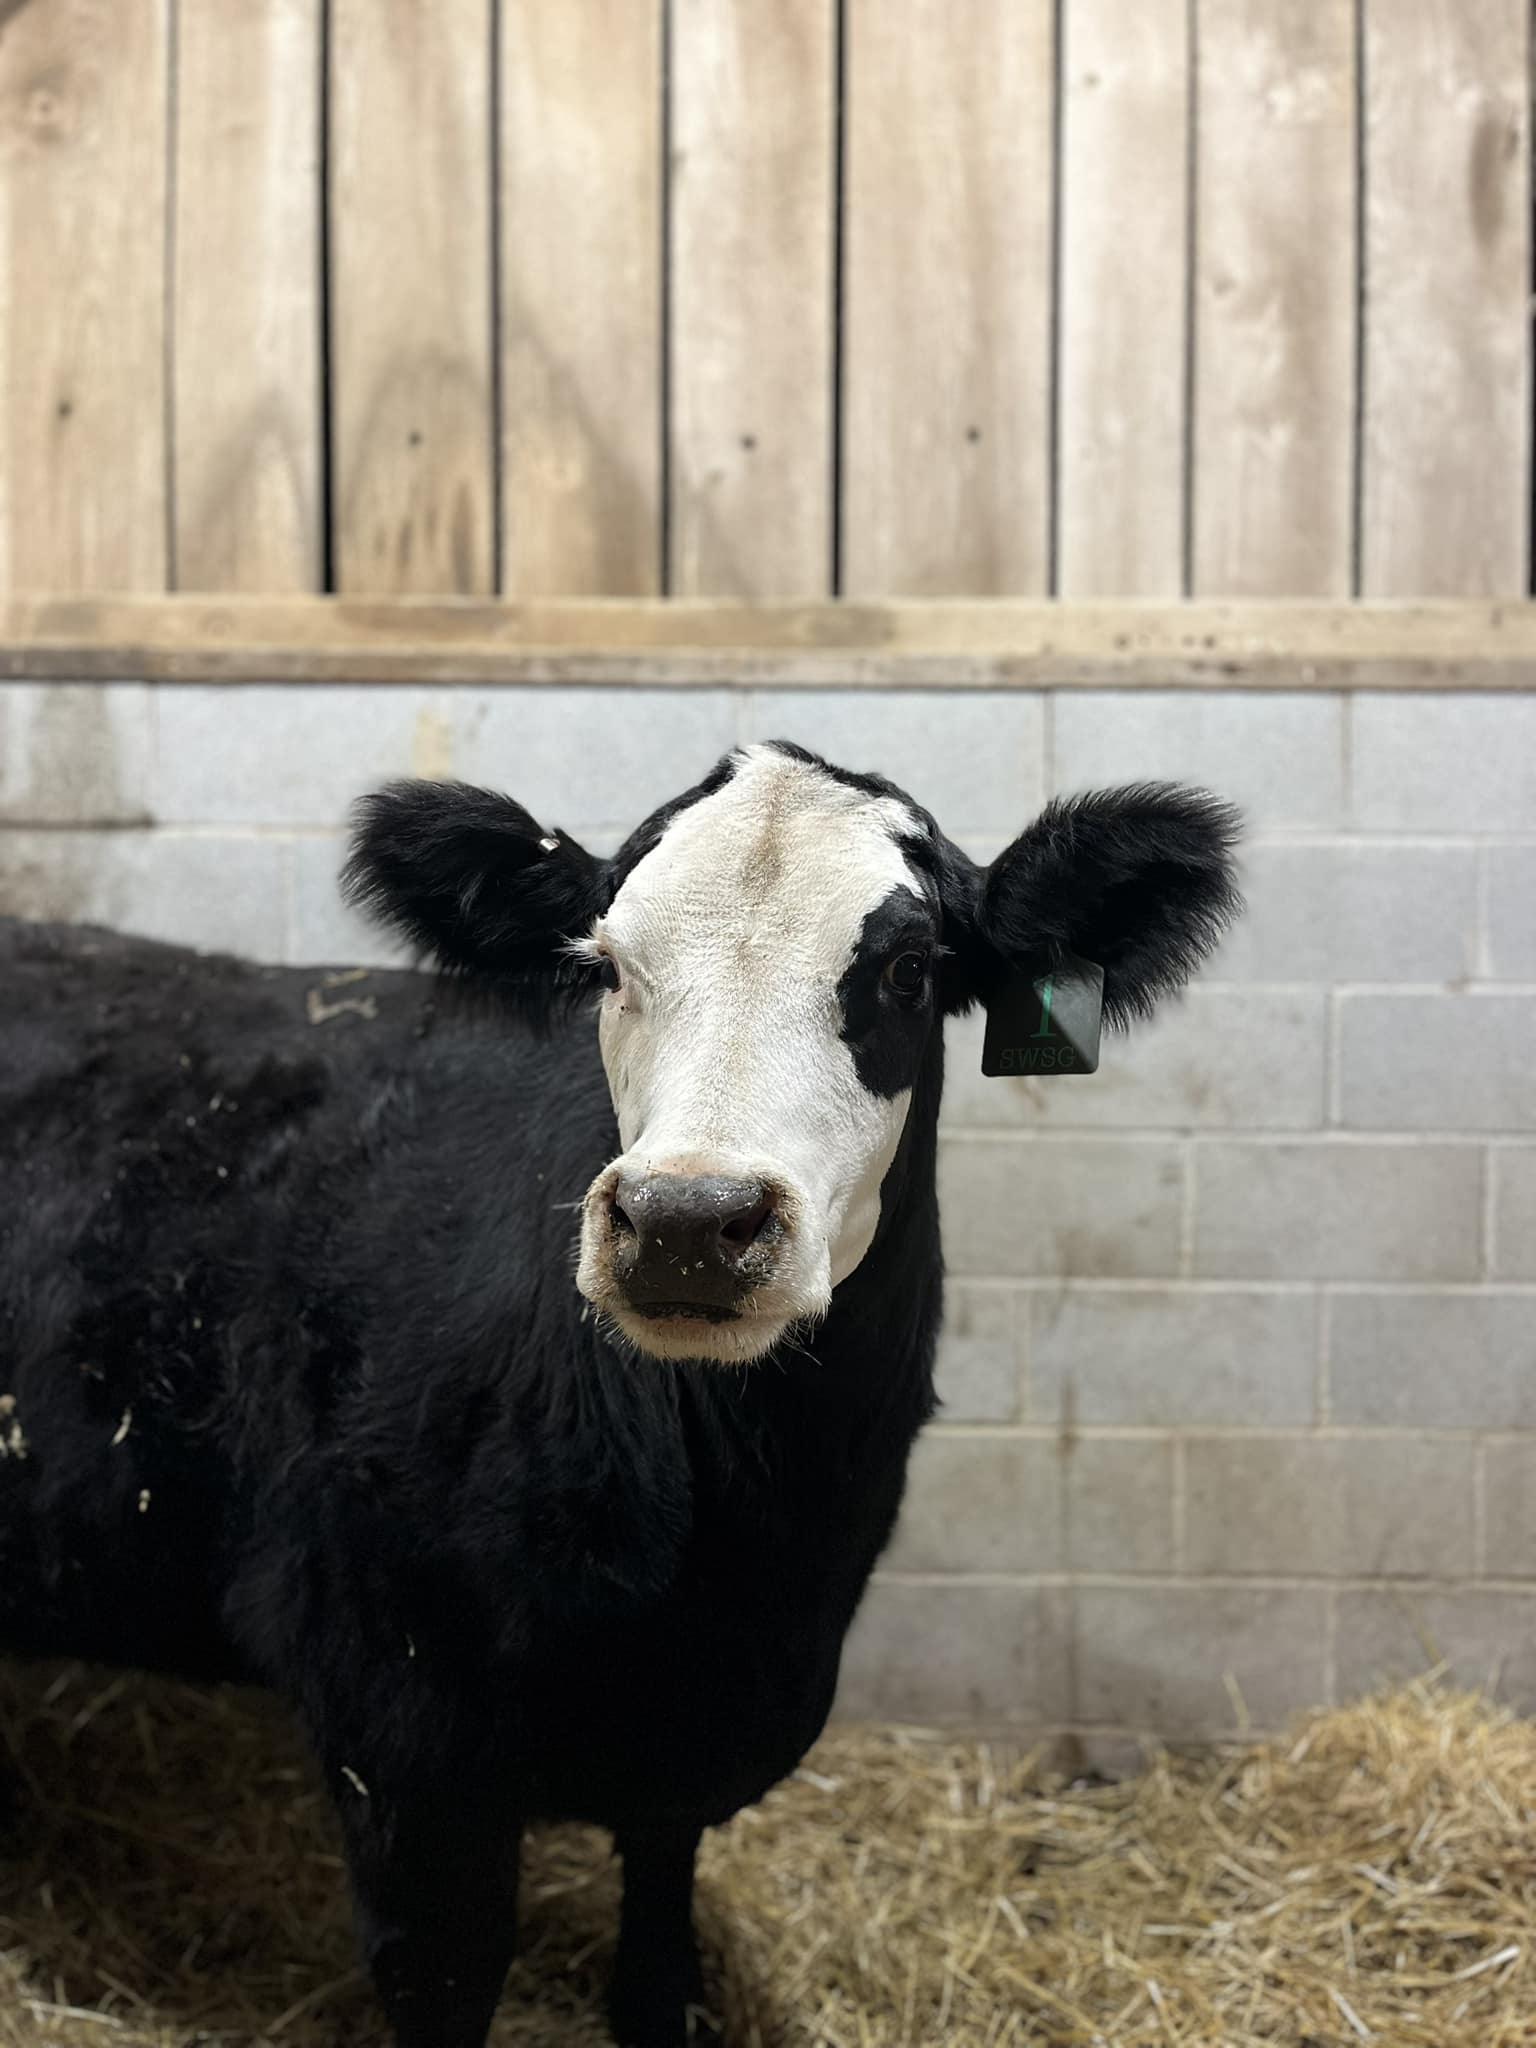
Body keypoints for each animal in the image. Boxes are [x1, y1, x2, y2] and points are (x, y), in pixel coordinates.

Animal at [0, 741, 1240, 2047]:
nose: (688, 1220)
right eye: (604, 964)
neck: (731, 1547)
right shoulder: (399, 1731)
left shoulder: (707, 1723)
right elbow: (448, 1976)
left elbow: (660, 1919)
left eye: (908, 968)